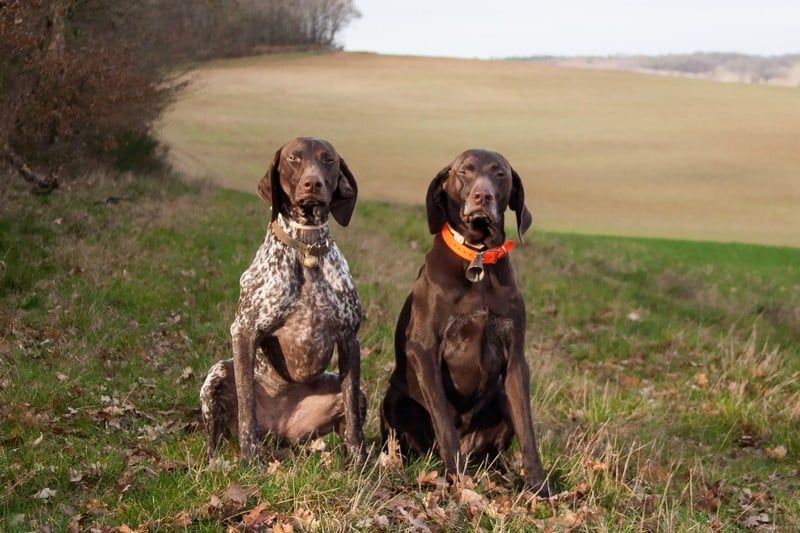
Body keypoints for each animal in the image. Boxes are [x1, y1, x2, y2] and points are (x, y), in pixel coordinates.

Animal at [200, 137, 366, 462]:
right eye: (294, 158)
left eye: (328, 159)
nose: (312, 183)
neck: (306, 248)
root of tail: (279, 430)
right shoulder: (244, 332)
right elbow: (247, 405)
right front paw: (250, 460)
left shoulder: (349, 339)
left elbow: (352, 411)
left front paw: (358, 460)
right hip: (216, 375)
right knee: (215, 436)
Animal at [382, 148, 552, 492]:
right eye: (464, 171)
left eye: (499, 173)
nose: (482, 196)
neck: (477, 259)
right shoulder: (424, 350)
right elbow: (444, 421)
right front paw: (458, 480)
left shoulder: (515, 358)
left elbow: (527, 431)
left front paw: (538, 487)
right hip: (393, 400)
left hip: (499, 399)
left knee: (493, 452)